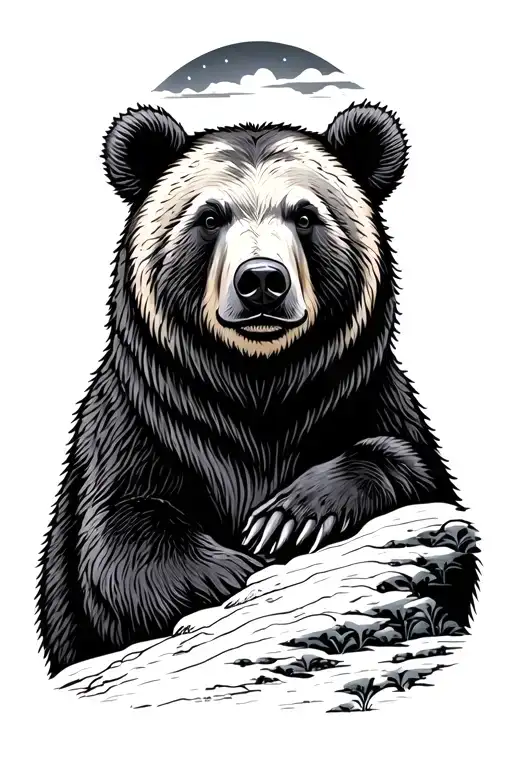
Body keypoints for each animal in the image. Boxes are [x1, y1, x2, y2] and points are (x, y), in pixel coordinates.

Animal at [36, 100, 460, 678]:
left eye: (304, 215)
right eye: (210, 216)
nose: (261, 280)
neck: (256, 382)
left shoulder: (362, 398)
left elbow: (413, 467)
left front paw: (289, 519)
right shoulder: (144, 421)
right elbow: (120, 533)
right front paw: (244, 568)